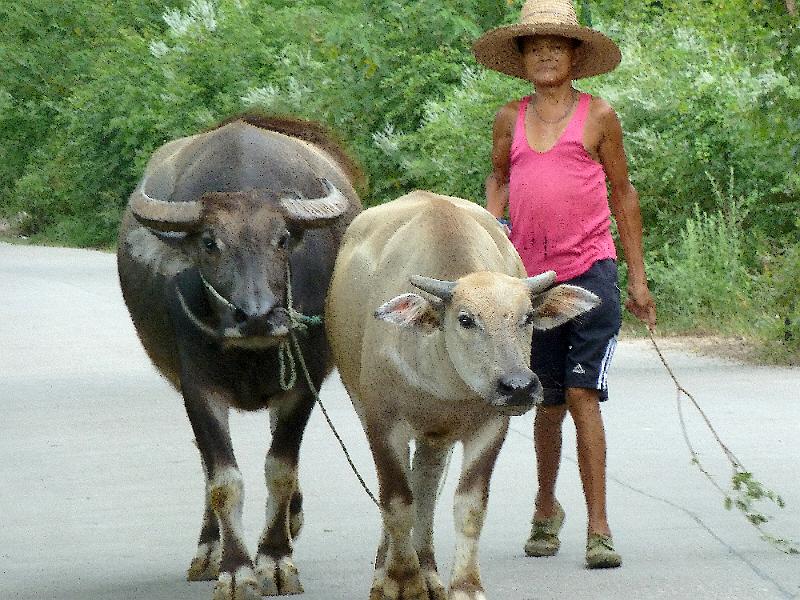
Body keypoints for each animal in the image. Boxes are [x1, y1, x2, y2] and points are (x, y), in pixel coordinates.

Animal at [116, 113, 362, 600]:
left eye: (282, 239)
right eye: (210, 242)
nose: (257, 316)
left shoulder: (301, 383)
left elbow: (280, 469)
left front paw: (276, 559)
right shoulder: (197, 387)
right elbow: (223, 480)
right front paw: (235, 569)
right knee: (206, 465)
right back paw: (208, 550)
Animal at [324, 193, 592, 600]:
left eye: (527, 317)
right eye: (465, 319)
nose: (518, 386)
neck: (445, 380)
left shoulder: (491, 427)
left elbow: (468, 506)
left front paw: (465, 586)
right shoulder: (382, 424)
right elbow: (396, 502)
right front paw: (402, 581)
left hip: (436, 437)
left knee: (426, 486)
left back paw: (430, 573)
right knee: (402, 493)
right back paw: (385, 575)